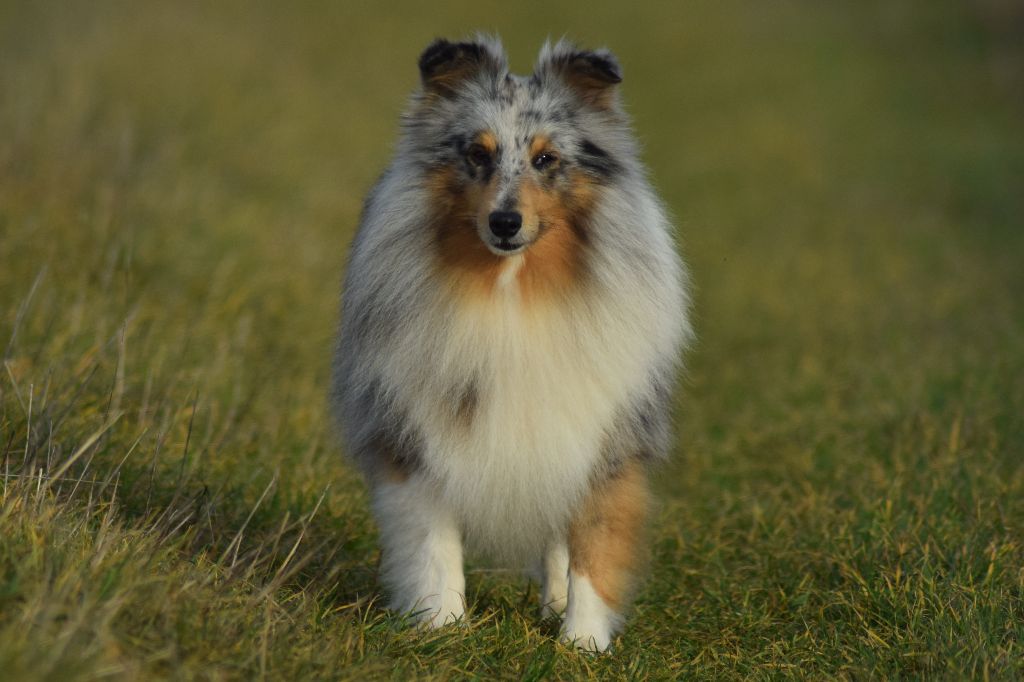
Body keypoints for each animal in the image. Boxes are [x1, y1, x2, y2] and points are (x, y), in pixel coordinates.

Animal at [331, 35, 692, 647]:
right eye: (478, 154)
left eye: (546, 159)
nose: (505, 223)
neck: (511, 288)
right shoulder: (416, 427)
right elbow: (433, 541)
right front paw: (443, 627)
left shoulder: (603, 434)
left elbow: (591, 544)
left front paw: (581, 644)